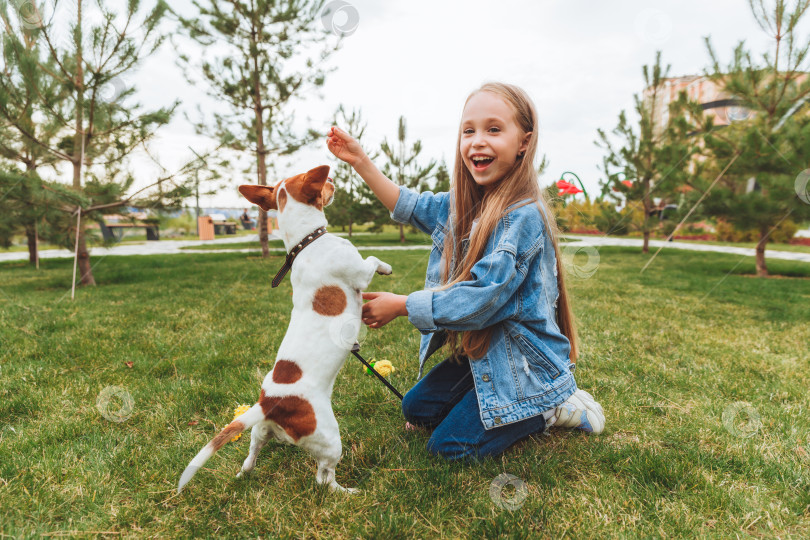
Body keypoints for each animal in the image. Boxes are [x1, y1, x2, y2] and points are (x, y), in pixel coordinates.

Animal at [178, 165, 392, 494]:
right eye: (323, 182)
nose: (332, 179)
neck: (307, 241)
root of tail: (269, 403)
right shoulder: (360, 272)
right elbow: (372, 261)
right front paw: (387, 267)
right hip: (330, 440)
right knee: (324, 478)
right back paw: (348, 492)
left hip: (258, 433)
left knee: (249, 458)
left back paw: (244, 474)